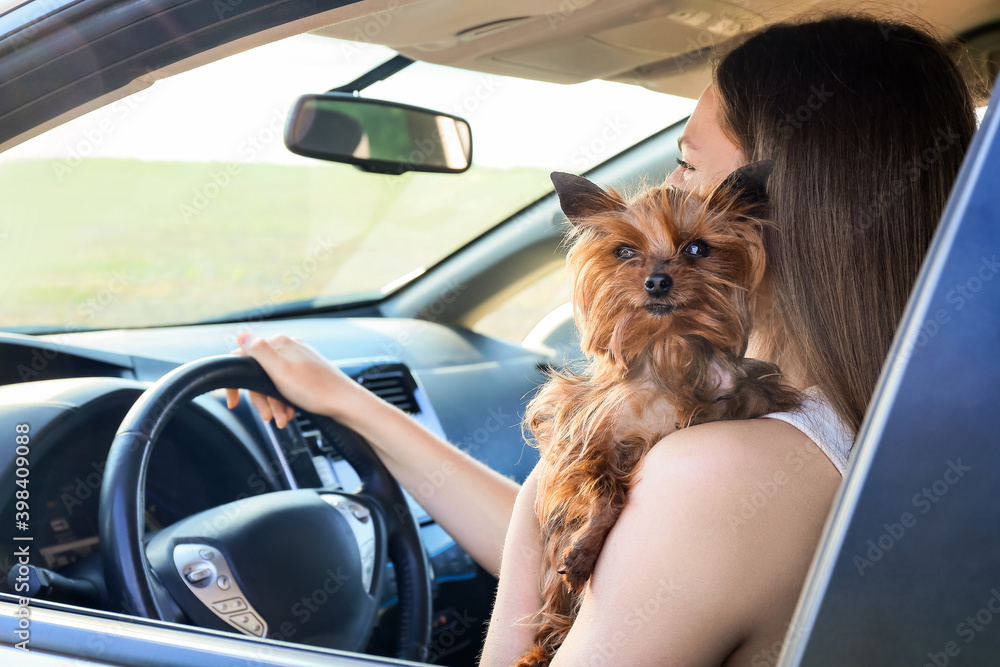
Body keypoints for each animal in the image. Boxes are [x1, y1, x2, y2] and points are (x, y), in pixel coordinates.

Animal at [520, 163, 800, 667]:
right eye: (624, 251)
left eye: (697, 248)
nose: (656, 281)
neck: (668, 349)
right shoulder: (582, 444)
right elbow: (606, 489)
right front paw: (583, 552)